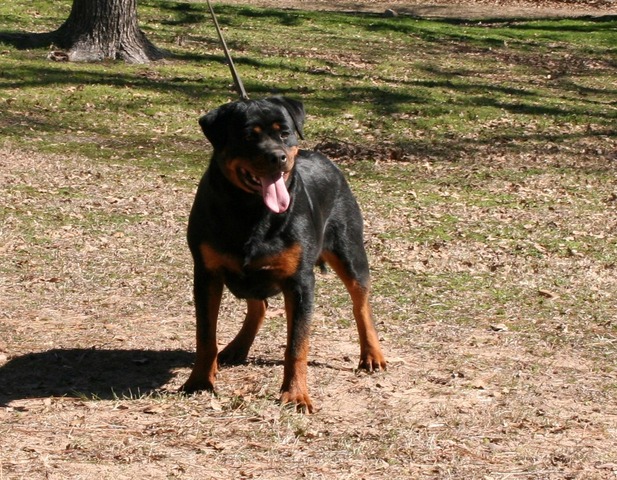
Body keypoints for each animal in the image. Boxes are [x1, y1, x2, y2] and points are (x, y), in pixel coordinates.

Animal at [179, 97, 384, 412]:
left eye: (284, 133)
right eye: (248, 136)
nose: (278, 157)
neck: (250, 210)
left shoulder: (299, 282)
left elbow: (297, 344)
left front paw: (296, 394)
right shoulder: (206, 274)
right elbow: (205, 335)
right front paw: (200, 380)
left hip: (350, 251)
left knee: (360, 304)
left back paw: (372, 354)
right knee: (259, 306)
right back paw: (237, 347)